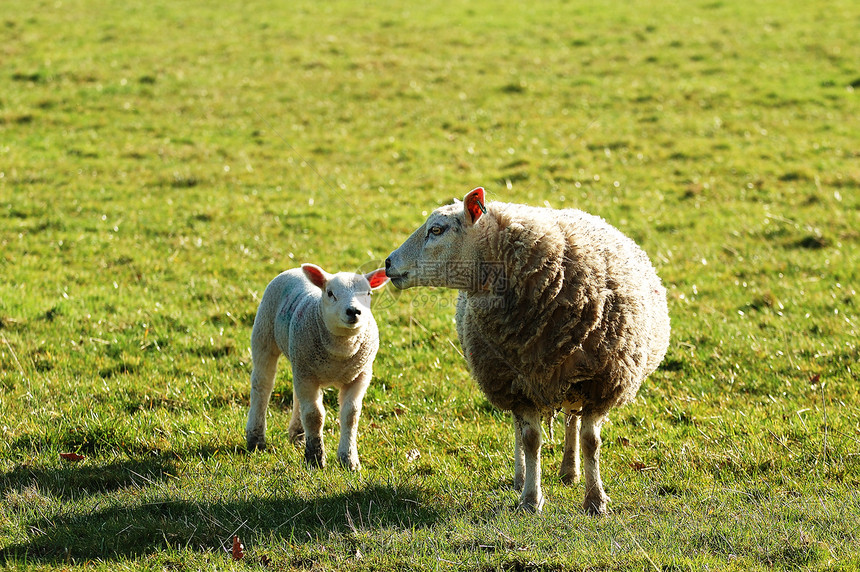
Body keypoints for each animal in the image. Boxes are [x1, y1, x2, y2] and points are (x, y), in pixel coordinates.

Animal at [244, 264, 388, 470]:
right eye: (330, 293)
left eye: (368, 293)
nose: (354, 311)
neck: (340, 352)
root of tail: (295, 269)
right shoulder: (307, 375)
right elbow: (314, 415)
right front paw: (315, 458)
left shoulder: (360, 375)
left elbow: (350, 415)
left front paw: (349, 459)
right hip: (264, 335)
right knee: (262, 386)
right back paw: (256, 438)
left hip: (300, 360)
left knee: (296, 396)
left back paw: (298, 435)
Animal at [384, 188, 672, 512]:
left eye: (436, 229)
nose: (388, 263)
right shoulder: (516, 385)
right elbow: (531, 439)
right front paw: (531, 499)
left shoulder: (601, 383)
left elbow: (591, 442)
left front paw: (595, 500)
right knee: (521, 430)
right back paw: (522, 477)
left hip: (570, 378)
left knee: (572, 420)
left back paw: (569, 471)